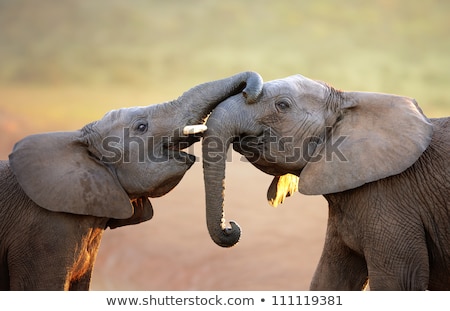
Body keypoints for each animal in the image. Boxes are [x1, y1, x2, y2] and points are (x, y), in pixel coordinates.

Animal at [201, 74, 450, 292]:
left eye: (282, 105)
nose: (231, 227)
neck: (347, 101)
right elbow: (329, 279)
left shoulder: (391, 199)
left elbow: (397, 283)